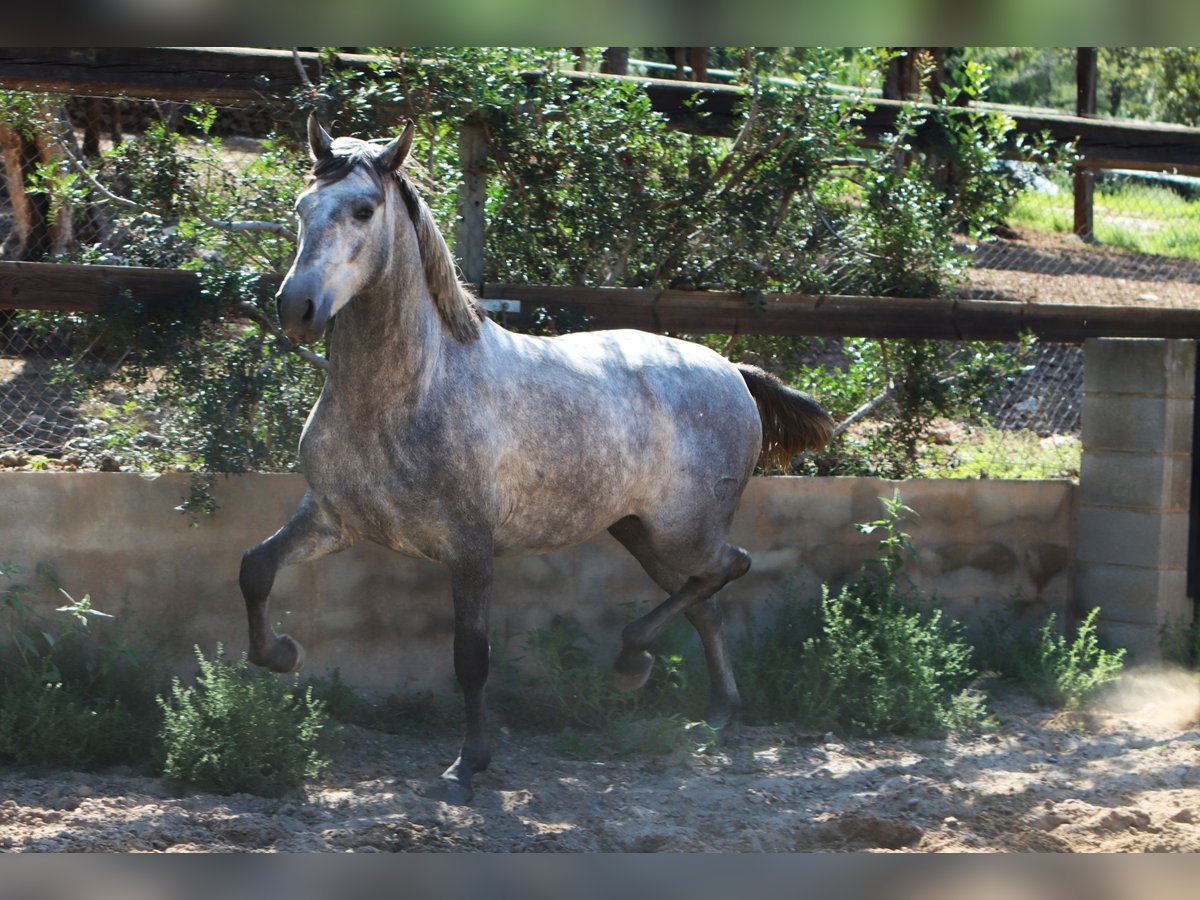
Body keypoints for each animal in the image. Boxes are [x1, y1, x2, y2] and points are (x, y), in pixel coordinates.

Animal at [238, 114, 830, 801]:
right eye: (302, 206)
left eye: (363, 209)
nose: (296, 308)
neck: (412, 391)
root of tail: (732, 370)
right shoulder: (334, 518)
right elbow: (255, 568)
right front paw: (282, 655)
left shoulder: (469, 547)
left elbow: (471, 657)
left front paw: (467, 765)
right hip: (640, 532)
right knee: (704, 599)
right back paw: (711, 712)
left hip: (683, 530)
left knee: (730, 567)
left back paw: (635, 663)